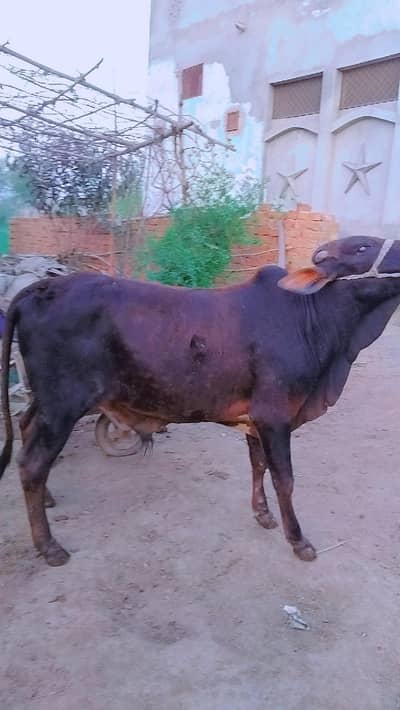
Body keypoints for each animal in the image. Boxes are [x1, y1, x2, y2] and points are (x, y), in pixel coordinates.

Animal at [1, 235, 400, 567]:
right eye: (362, 247)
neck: (312, 320)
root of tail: (42, 286)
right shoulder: (274, 417)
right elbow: (284, 478)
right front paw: (298, 541)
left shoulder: (255, 421)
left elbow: (258, 466)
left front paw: (263, 515)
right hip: (62, 406)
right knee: (32, 463)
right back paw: (49, 547)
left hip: (47, 402)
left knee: (25, 430)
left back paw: (48, 499)